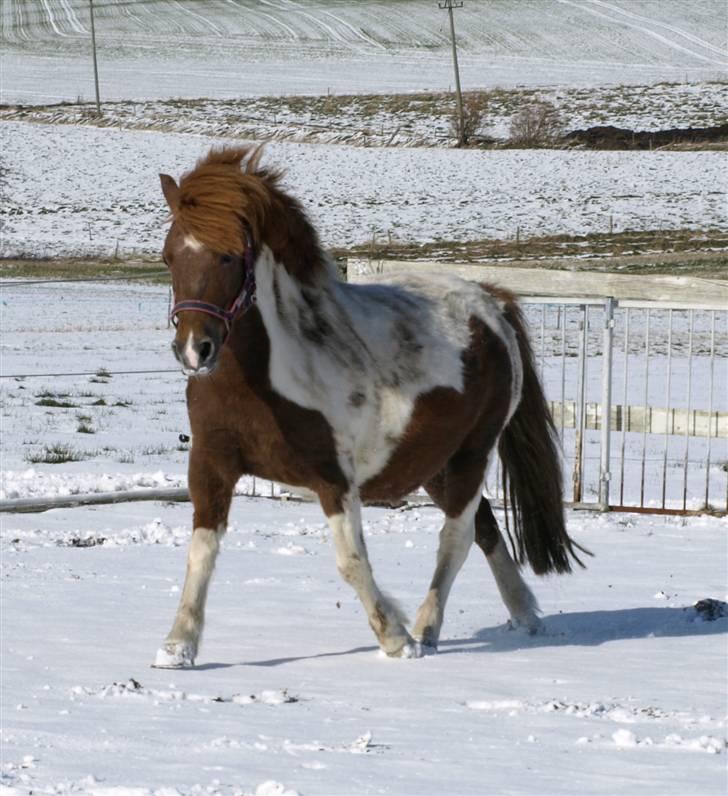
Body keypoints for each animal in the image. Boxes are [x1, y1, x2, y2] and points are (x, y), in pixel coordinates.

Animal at [154, 146, 584, 668]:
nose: (194, 350)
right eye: (169, 255)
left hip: (472, 454)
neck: (268, 376)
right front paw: (177, 646)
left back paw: (426, 629)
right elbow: (200, 552)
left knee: (457, 537)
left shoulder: (334, 479)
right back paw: (523, 615)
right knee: (485, 528)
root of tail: (491, 303)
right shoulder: (211, 464)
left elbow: (352, 561)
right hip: (433, 464)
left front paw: (395, 639)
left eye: (229, 256)